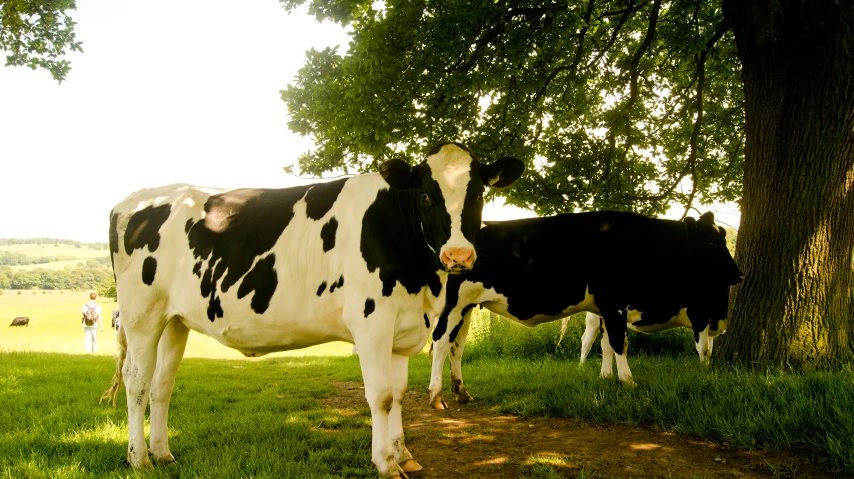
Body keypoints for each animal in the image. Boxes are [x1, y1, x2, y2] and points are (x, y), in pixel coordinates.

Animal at [97, 142, 524, 476]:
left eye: (478, 194)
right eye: (425, 196)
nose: (458, 255)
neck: (419, 279)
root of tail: (135, 199)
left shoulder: (403, 329)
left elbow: (400, 394)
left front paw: (404, 456)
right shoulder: (372, 323)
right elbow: (381, 397)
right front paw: (386, 463)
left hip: (174, 321)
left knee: (162, 385)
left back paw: (163, 454)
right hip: (141, 316)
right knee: (137, 382)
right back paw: (139, 459)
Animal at [428, 211, 744, 408]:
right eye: (713, 243)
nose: (739, 274)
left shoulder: (605, 308)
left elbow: (606, 344)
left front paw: (606, 378)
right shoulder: (617, 302)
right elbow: (621, 342)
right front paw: (628, 381)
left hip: (467, 307)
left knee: (457, 345)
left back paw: (462, 392)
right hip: (452, 303)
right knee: (441, 341)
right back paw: (436, 395)